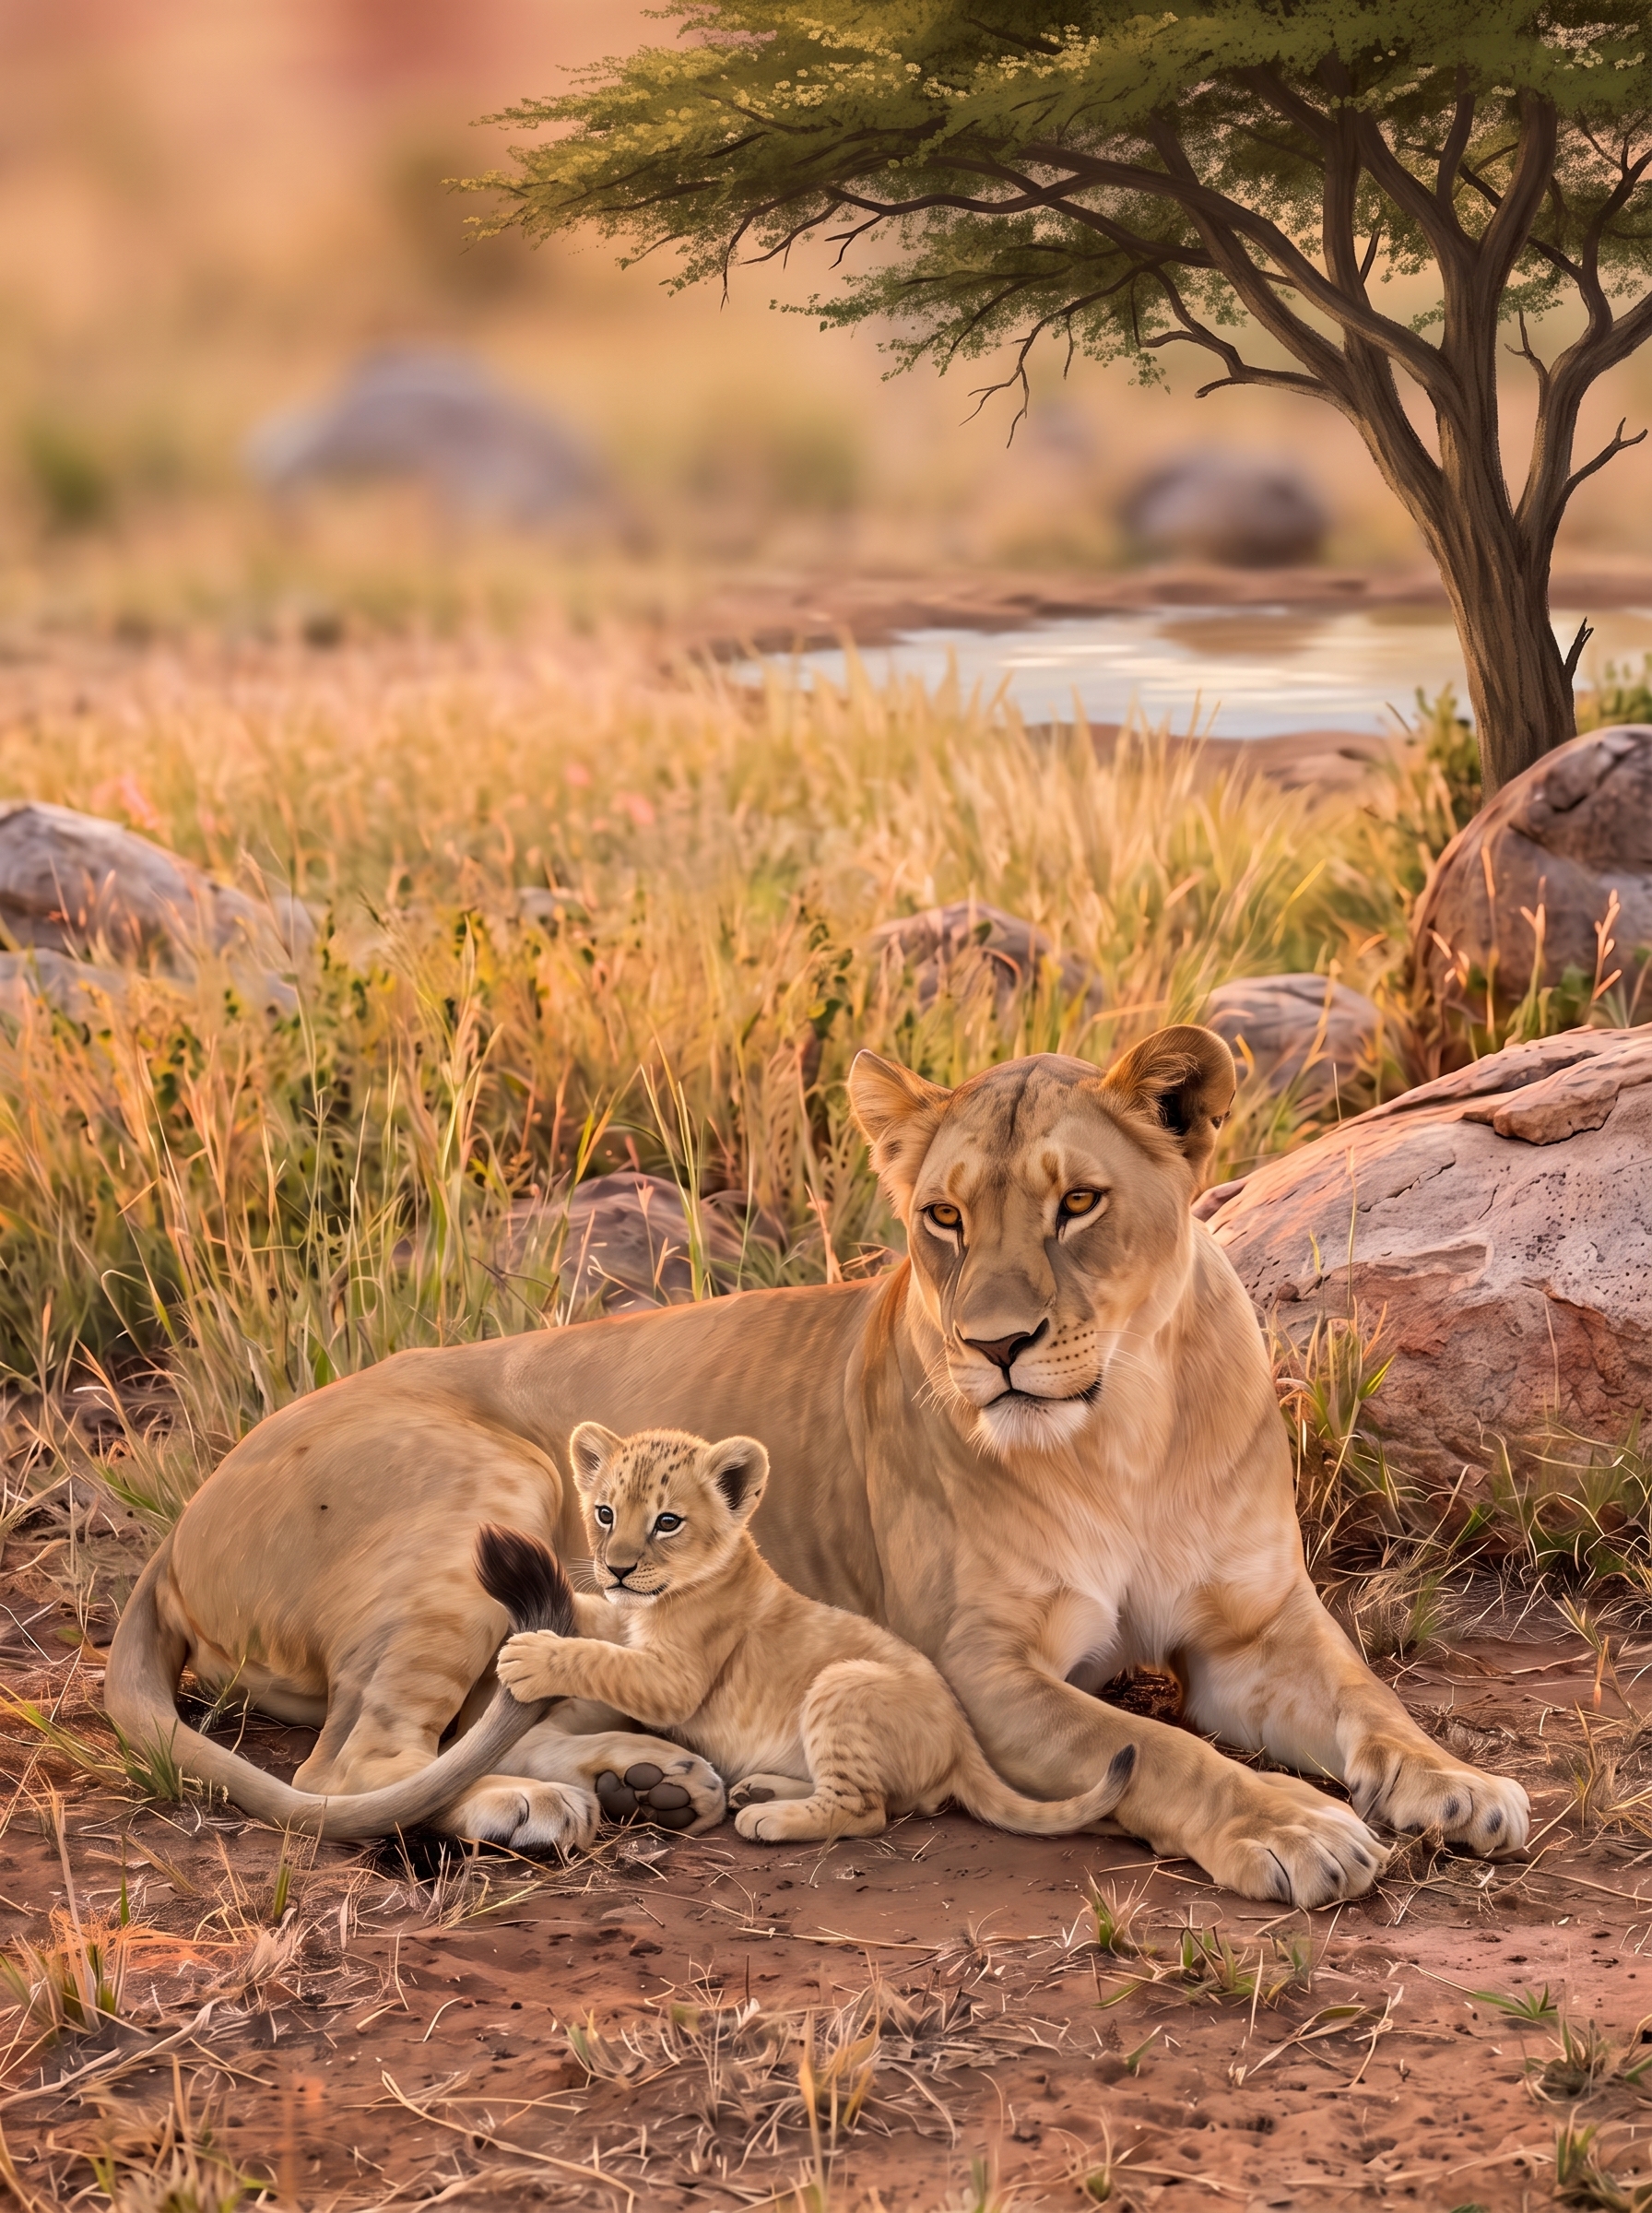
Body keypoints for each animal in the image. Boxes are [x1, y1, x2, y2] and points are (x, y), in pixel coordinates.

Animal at [107, 1025, 1529, 1902]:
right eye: (942, 1218)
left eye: (1078, 1204)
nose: (995, 1348)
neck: (1120, 1429)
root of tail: (171, 1534)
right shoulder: (983, 1672)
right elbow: (1159, 1751)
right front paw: (1290, 1828)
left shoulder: (1255, 1631)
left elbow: (1372, 1705)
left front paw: (1461, 1790)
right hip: (486, 1491)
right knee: (352, 1768)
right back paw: (533, 1807)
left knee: (483, 1715)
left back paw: (647, 1779)